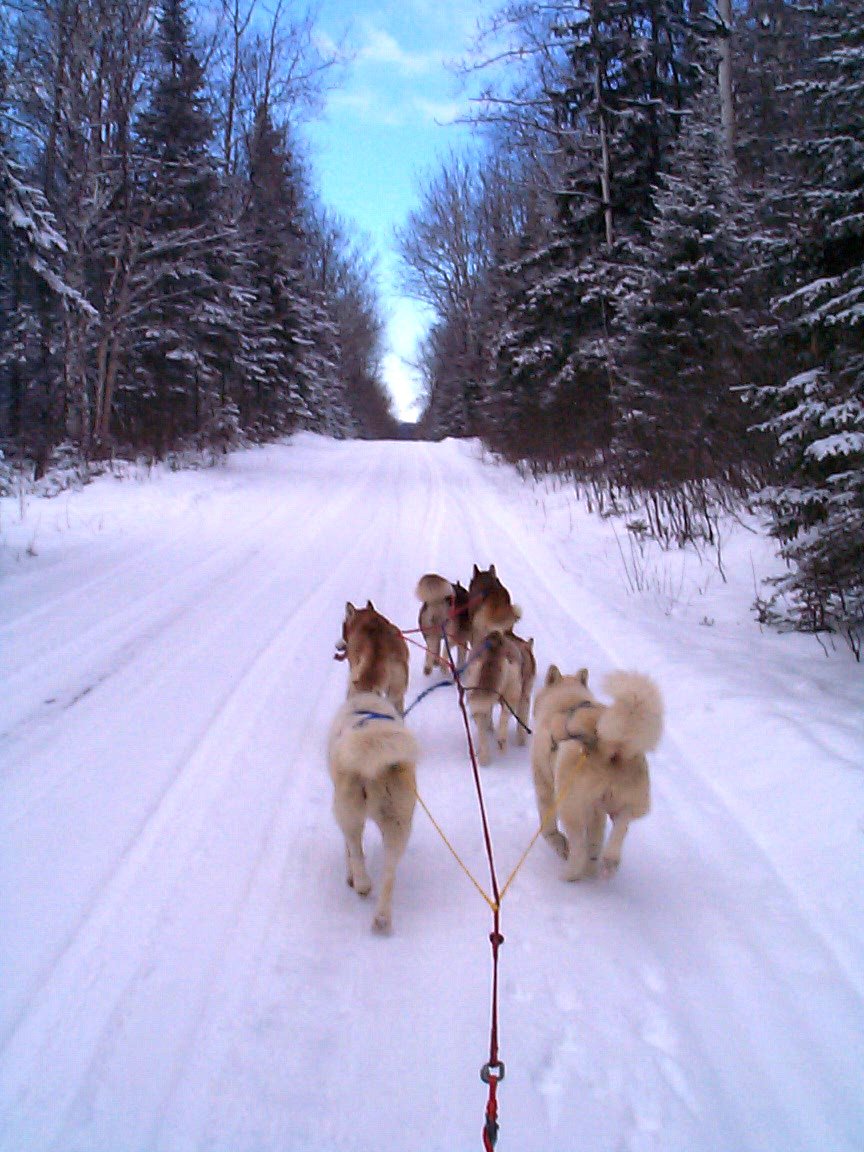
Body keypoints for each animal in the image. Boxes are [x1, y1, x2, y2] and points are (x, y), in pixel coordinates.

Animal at [327, 686, 419, 930]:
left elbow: (348, 850)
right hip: (399, 821)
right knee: (389, 873)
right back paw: (382, 918)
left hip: (349, 811)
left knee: (356, 850)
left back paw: (361, 884)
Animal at [467, 631, 534, 764]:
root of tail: (496, 642)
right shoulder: (525, 698)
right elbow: (522, 723)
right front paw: (522, 743)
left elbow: (488, 716)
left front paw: (490, 729)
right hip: (512, 695)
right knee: (504, 717)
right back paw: (501, 742)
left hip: (475, 692)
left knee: (480, 722)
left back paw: (484, 756)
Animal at [532, 663, 668, 875]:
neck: (565, 703)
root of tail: (611, 749)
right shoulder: (597, 812)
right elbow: (595, 838)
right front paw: (593, 859)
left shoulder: (544, 784)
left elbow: (549, 827)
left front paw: (558, 844)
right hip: (624, 803)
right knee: (622, 824)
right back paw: (610, 860)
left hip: (571, 806)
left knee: (578, 846)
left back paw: (570, 873)